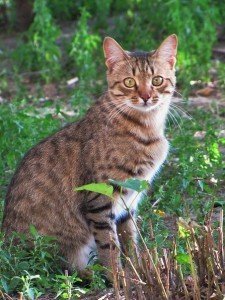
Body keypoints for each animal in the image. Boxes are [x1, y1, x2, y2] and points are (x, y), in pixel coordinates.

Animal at [1, 34, 178, 278]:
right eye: (129, 82)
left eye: (157, 80)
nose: (145, 96)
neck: (147, 128)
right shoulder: (100, 198)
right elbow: (109, 245)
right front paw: (118, 277)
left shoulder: (129, 199)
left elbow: (129, 238)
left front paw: (137, 269)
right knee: (66, 268)